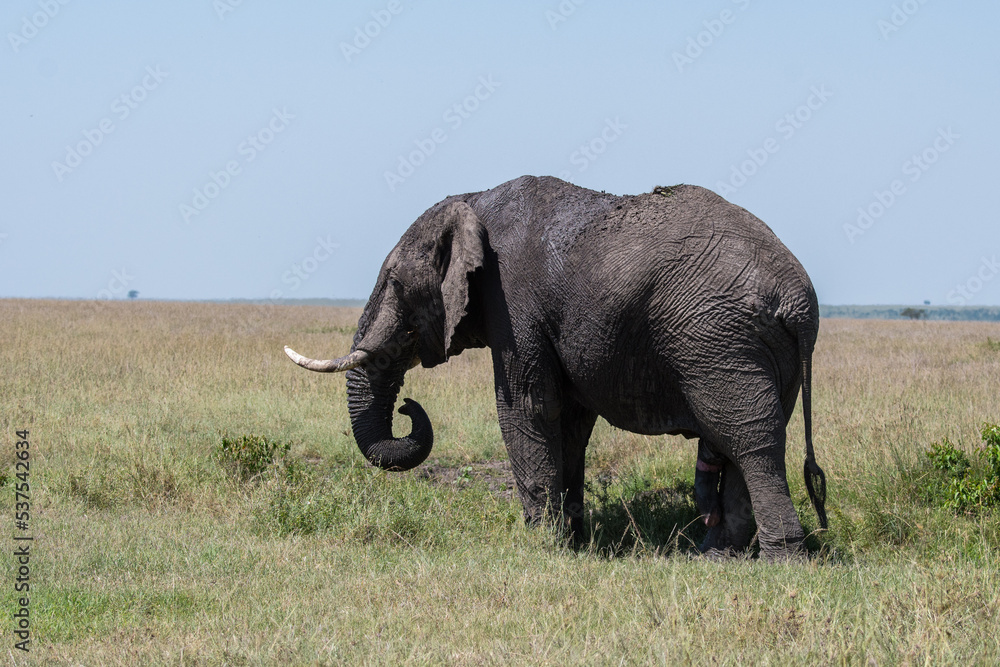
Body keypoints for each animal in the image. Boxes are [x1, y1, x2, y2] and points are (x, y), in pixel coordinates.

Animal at [284, 175, 827, 559]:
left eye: (395, 283)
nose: (407, 407)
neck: (474, 199)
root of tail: (796, 299)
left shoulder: (512, 302)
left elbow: (526, 406)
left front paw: (540, 546)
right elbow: (569, 422)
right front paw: (571, 539)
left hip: (718, 339)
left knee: (750, 441)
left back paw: (780, 563)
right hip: (749, 347)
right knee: (743, 439)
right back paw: (716, 557)